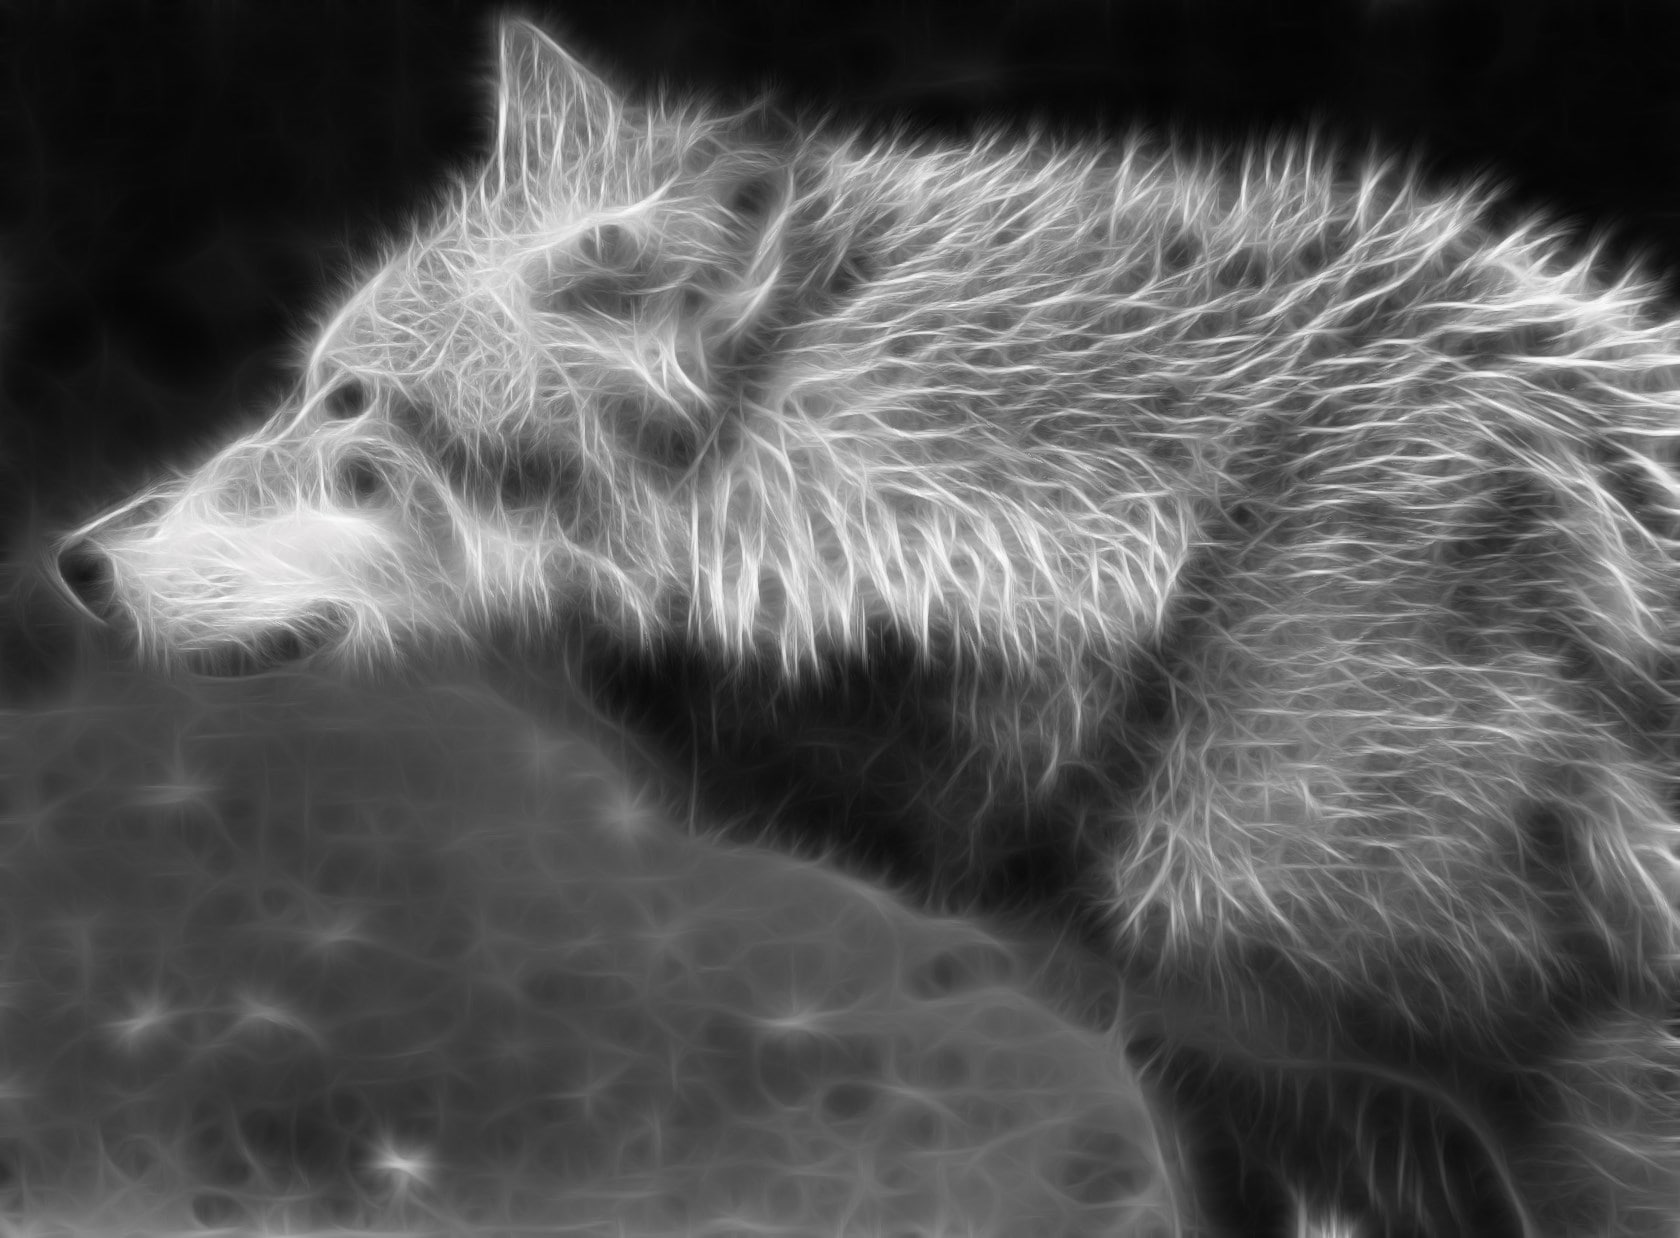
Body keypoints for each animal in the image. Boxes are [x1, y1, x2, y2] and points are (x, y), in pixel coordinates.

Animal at [53, 17, 1680, 1237]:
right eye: (313, 384)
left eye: (354, 406)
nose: (75, 559)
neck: (1193, 564)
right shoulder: (1225, 1081)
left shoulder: (1589, 1091)